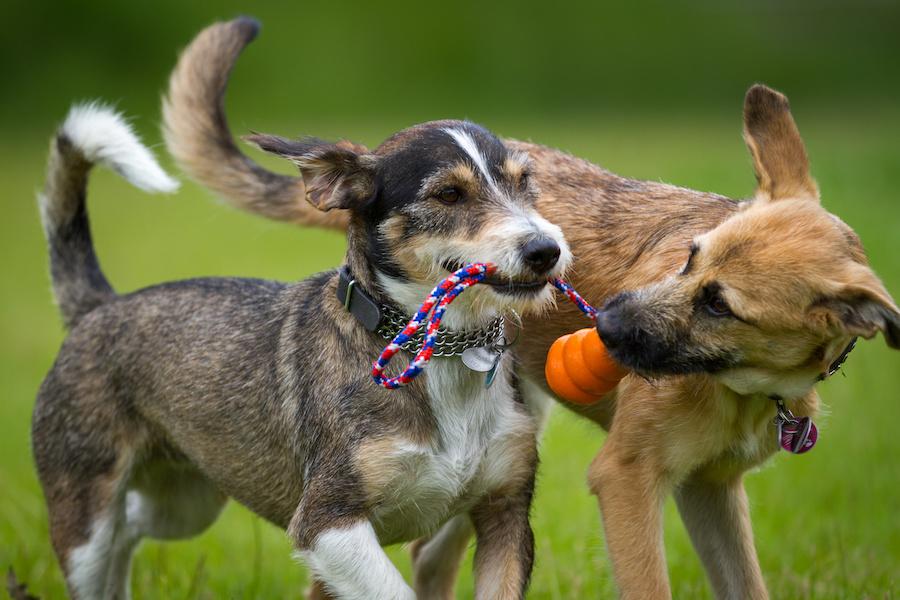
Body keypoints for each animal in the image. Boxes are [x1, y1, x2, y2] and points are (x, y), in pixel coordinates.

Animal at [35, 96, 572, 596]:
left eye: (526, 182)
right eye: (448, 194)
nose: (546, 250)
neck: (440, 351)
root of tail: (100, 306)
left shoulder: (505, 513)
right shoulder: (324, 524)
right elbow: (393, 590)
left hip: (186, 501)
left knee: (129, 527)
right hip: (87, 520)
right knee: (103, 544)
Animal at [163, 18, 900, 600]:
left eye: (721, 305)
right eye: (688, 257)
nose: (605, 322)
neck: (745, 387)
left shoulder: (711, 490)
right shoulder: (627, 480)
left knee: (429, 557)